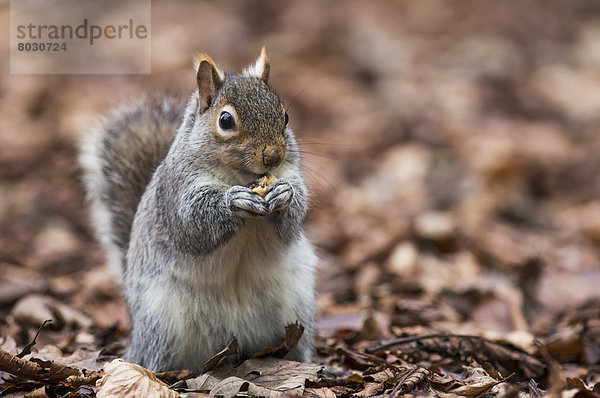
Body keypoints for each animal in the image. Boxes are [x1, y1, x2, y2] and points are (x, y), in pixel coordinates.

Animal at [79, 49, 318, 374]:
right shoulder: (176, 192)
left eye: (285, 116)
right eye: (226, 120)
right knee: (155, 356)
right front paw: (234, 202)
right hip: (161, 320)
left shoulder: (290, 174)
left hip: (297, 304)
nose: (273, 157)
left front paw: (284, 195)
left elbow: (291, 221)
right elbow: (193, 224)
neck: (241, 176)